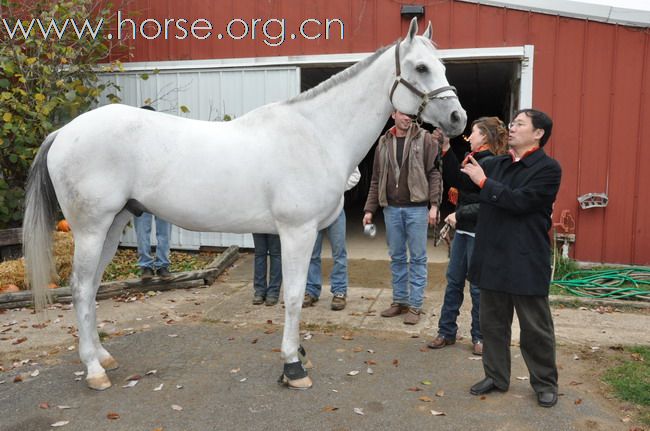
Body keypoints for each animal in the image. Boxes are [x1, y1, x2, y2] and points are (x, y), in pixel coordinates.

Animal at [22, 18, 464, 394]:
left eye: (442, 66)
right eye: (421, 67)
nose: (458, 118)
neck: (317, 133)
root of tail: (64, 132)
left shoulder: (308, 233)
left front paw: (297, 355)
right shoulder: (297, 231)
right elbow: (292, 295)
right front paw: (292, 367)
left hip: (113, 225)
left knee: (92, 288)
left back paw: (103, 357)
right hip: (91, 229)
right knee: (80, 288)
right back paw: (94, 370)